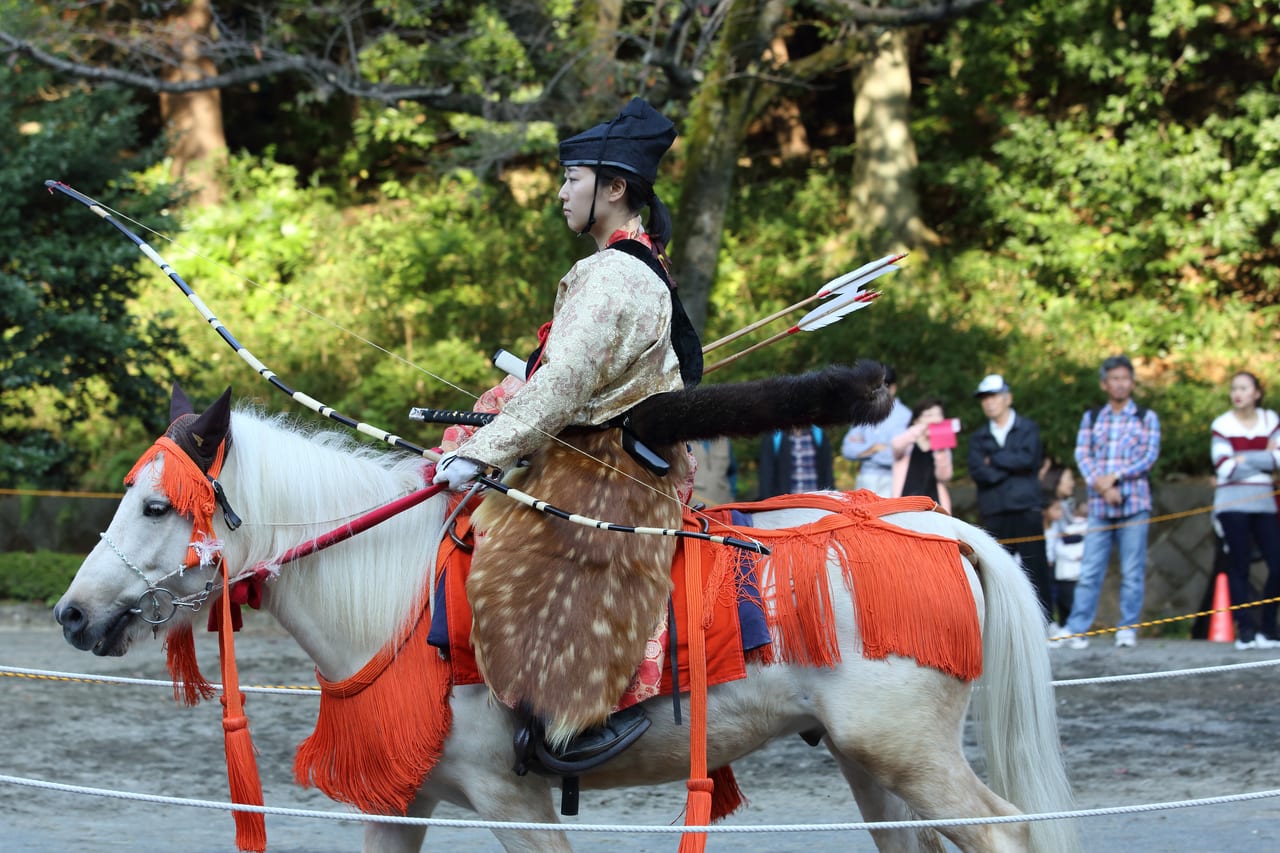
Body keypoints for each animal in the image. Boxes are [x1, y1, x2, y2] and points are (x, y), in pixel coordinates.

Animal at [57, 399, 1080, 850]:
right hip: (871, 758)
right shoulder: (400, 801)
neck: (391, 593)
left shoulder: (513, 800)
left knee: (1006, 836)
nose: (72, 613)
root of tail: (934, 523)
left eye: (156, 506)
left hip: (910, 751)